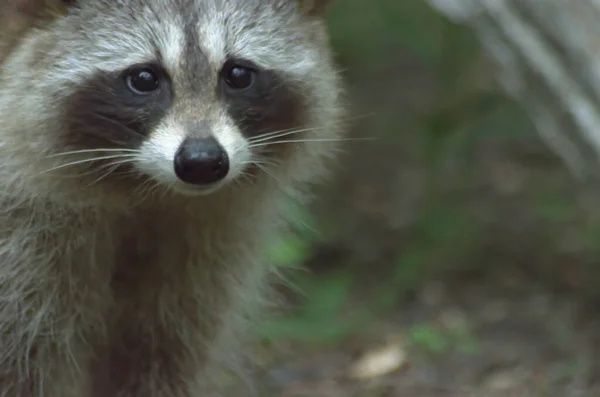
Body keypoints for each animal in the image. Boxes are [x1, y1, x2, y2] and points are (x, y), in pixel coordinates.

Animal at [0, 1, 344, 394]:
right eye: (143, 78)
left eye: (238, 74)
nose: (202, 161)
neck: (148, 193)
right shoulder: (22, 251)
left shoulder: (203, 260)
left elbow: (163, 358)